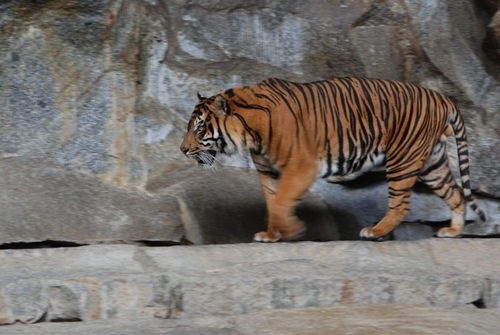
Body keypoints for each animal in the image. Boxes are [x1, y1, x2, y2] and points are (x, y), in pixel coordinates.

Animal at [179, 77, 484, 243]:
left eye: (199, 128)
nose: (182, 149)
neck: (250, 132)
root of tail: (441, 97)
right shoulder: (269, 171)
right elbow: (273, 203)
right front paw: (272, 234)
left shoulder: (300, 166)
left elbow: (282, 201)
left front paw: (292, 230)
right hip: (432, 162)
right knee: (456, 194)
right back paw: (454, 231)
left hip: (403, 158)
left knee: (401, 204)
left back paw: (375, 231)